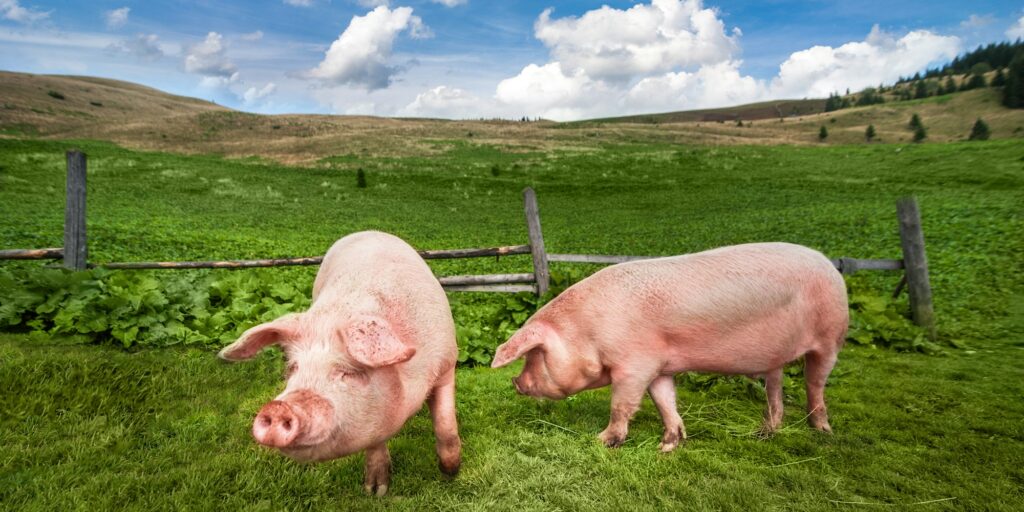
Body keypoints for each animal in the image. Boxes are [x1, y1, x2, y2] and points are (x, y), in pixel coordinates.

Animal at [218, 231, 461, 496]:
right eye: (293, 368)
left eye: (347, 372)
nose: (278, 407)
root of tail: (368, 231)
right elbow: (376, 442)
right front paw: (375, 491)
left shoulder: (447, 362)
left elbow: (446, 425)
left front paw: (450, 473)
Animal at [491, 242, 848, 452]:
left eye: (534, 355)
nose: (515, 382)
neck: (588, 331)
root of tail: (830, 266)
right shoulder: (659, 366)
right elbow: (665, 401)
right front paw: (667, 446)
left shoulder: (634, 366)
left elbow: (621, 404)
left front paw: (602, 441)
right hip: (776, 358)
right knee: (775, 387)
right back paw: (766, 433)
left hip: (830, 337)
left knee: (814, 383)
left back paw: (824, 431)